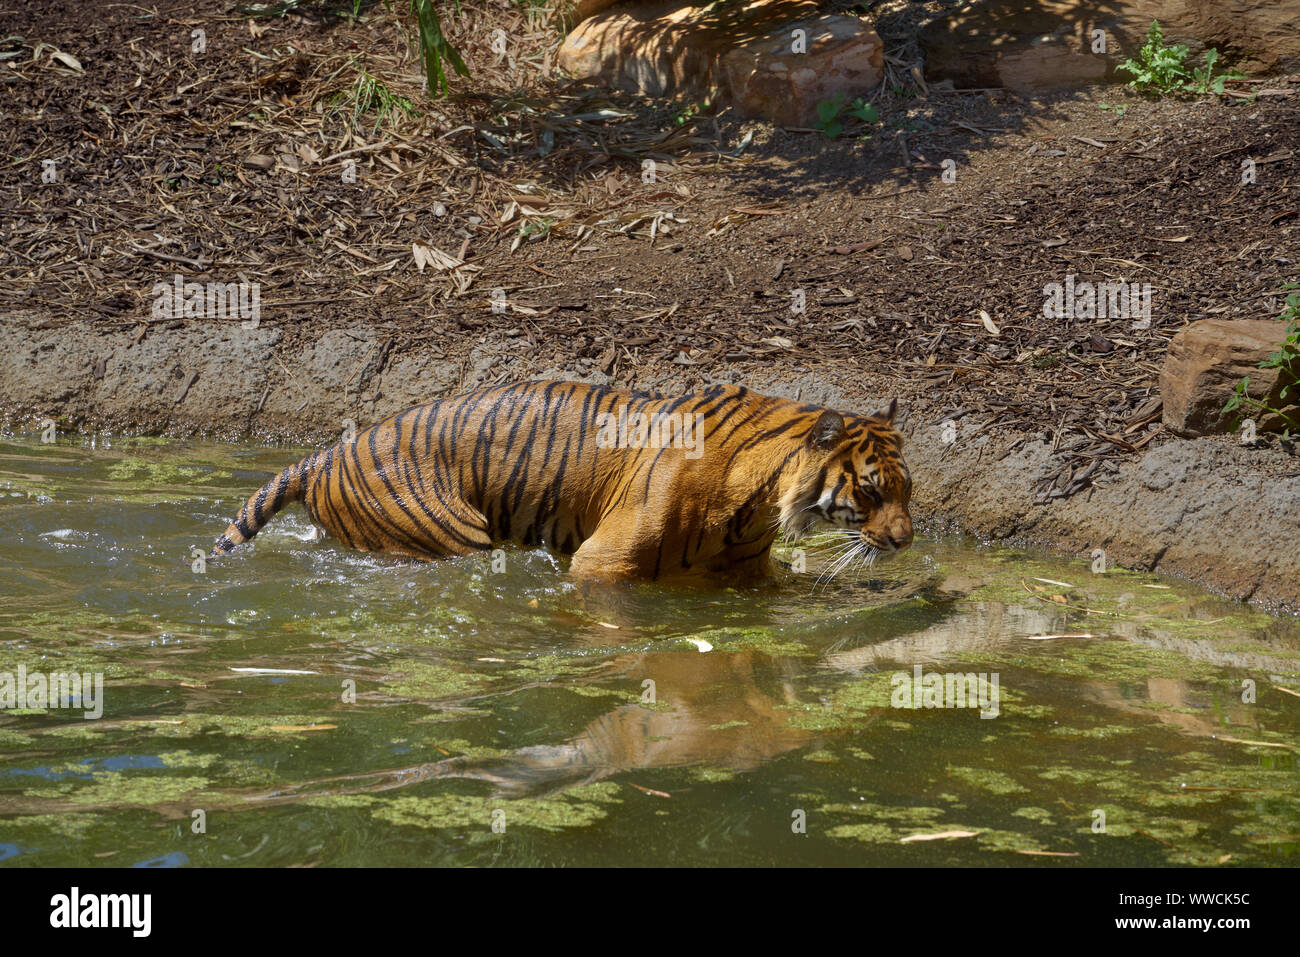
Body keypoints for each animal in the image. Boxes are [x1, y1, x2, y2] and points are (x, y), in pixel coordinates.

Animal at [213, 382, 915, 582]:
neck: (760, 503)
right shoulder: (602, 564)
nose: (907, 541)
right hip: (452, 534)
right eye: (871, 491)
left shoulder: (748, 573)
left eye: (907, 490)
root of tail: (323, 456)